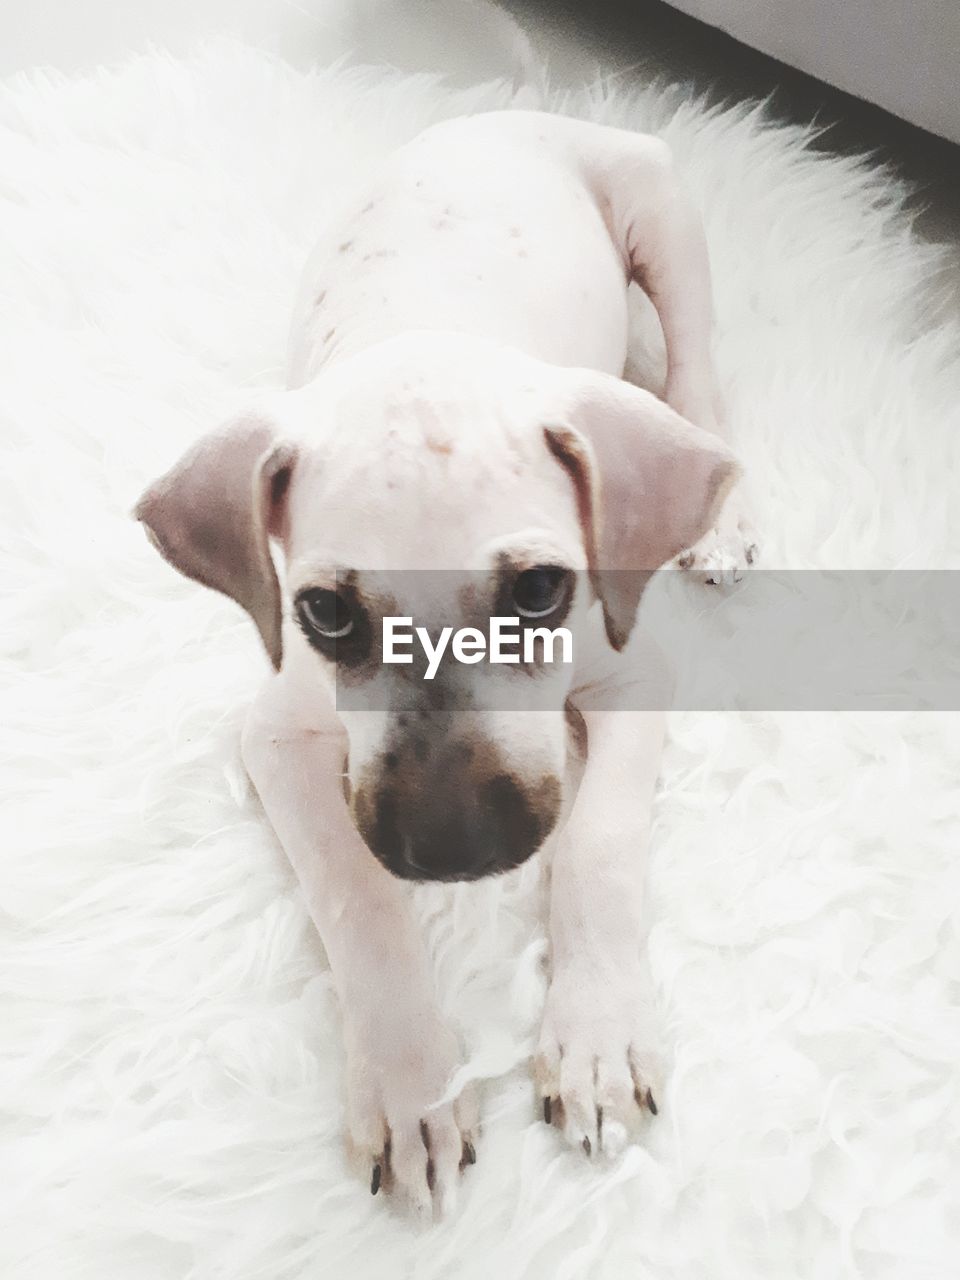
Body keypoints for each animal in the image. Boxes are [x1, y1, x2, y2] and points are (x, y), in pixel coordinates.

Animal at [136, 112, 752, 1218]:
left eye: (542, 591)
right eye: (325, 611)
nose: (457, 848)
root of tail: (508, 110)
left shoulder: (634, 677)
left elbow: (595, 845)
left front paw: (595, 1034)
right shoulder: (280, 733)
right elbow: (357, 893)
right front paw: (411, 1083)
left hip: (660, 211)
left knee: (697, 369)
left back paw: (719, 514)